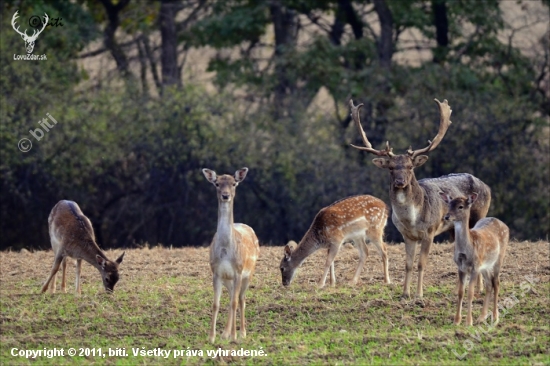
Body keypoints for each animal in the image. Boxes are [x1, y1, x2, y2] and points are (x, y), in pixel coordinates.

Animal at [204, 168, 262, 344]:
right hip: (228, 279)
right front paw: (212, 337)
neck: (225, 250)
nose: (225, 195)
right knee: (231, 298)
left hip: (249, 273)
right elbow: (216, 304)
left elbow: (235, 302)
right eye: (217, 183)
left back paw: (241, 333)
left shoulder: (238, 271)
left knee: (241, 299)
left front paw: (234, 337)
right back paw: (225, 333)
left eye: (234, 183)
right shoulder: (216, 273)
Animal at [350, 98, 492, 298]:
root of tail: (487, 186)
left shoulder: (429, 232)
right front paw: (405, 293)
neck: (412, 219)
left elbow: (421, 264)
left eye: (410, 166)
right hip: (453, 229)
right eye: (391, 168)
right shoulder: (407, 235)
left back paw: (479, 289)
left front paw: (419, 294)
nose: (400, 182)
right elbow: (408, 264)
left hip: (479, 214)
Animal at [440, 193, 512, 324]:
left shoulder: (474, 267)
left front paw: (469, 321)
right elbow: (461, 292)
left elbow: (470, 293)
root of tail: (504, 224)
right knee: (489, 284)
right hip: (484, 266)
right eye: (449, 204)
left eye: (461, 206)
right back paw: (482, 317)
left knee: (496, 282)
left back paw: (495, 317)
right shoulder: (460, 267)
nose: (447, 216)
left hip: (499, 257)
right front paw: (457, 320)